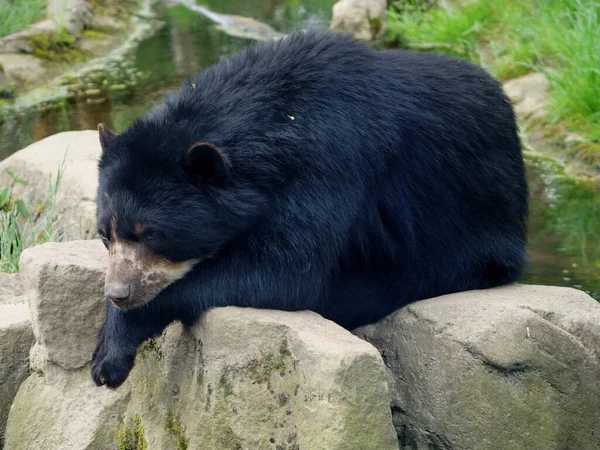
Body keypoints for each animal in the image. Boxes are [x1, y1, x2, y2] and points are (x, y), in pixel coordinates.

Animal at [91, 30, 528, 386]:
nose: (118, 293)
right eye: (105, 235)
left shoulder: (330, 159)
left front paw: (110, 356)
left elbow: (284, 271)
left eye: (151, 233)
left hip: (466, 231)